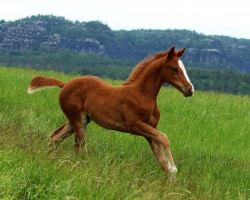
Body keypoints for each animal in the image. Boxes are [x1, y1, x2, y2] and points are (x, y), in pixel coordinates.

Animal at [28, 47, 194, 175]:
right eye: (174, 68)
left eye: (184, 69)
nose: (190, 89)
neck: (143, 94)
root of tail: (65, 84)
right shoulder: (135, 126)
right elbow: (165, 138)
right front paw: (174, 169)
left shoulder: (151, 129)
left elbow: (161, 160)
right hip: (78, 121)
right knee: (79, 147)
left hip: (77, 120)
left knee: (55, 137)